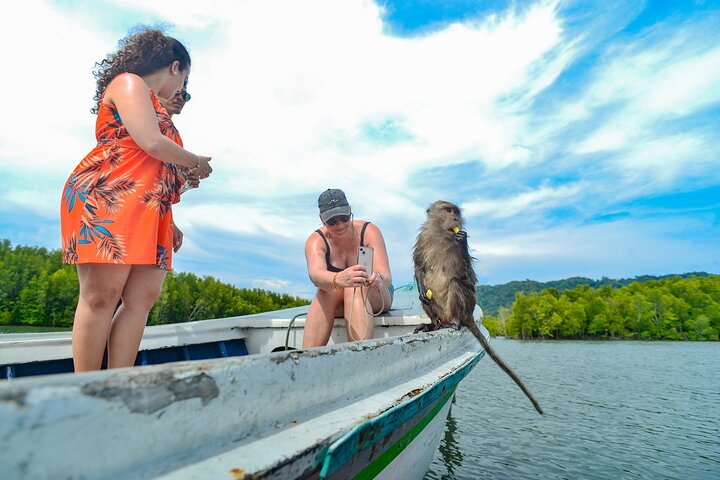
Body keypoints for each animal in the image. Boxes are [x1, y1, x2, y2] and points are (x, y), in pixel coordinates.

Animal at [413, 200, 544, 415]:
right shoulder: (423, 238)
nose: (456, 219)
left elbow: (466, 277)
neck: (442, 235)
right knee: (427, 299)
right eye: (448, 210)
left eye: (456, 212)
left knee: (456, 284)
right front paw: (422, 289)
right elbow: (419, 268)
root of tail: (467, 315)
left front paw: (463, 240)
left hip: (466, 305)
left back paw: (453, 323)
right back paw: (432, 324)